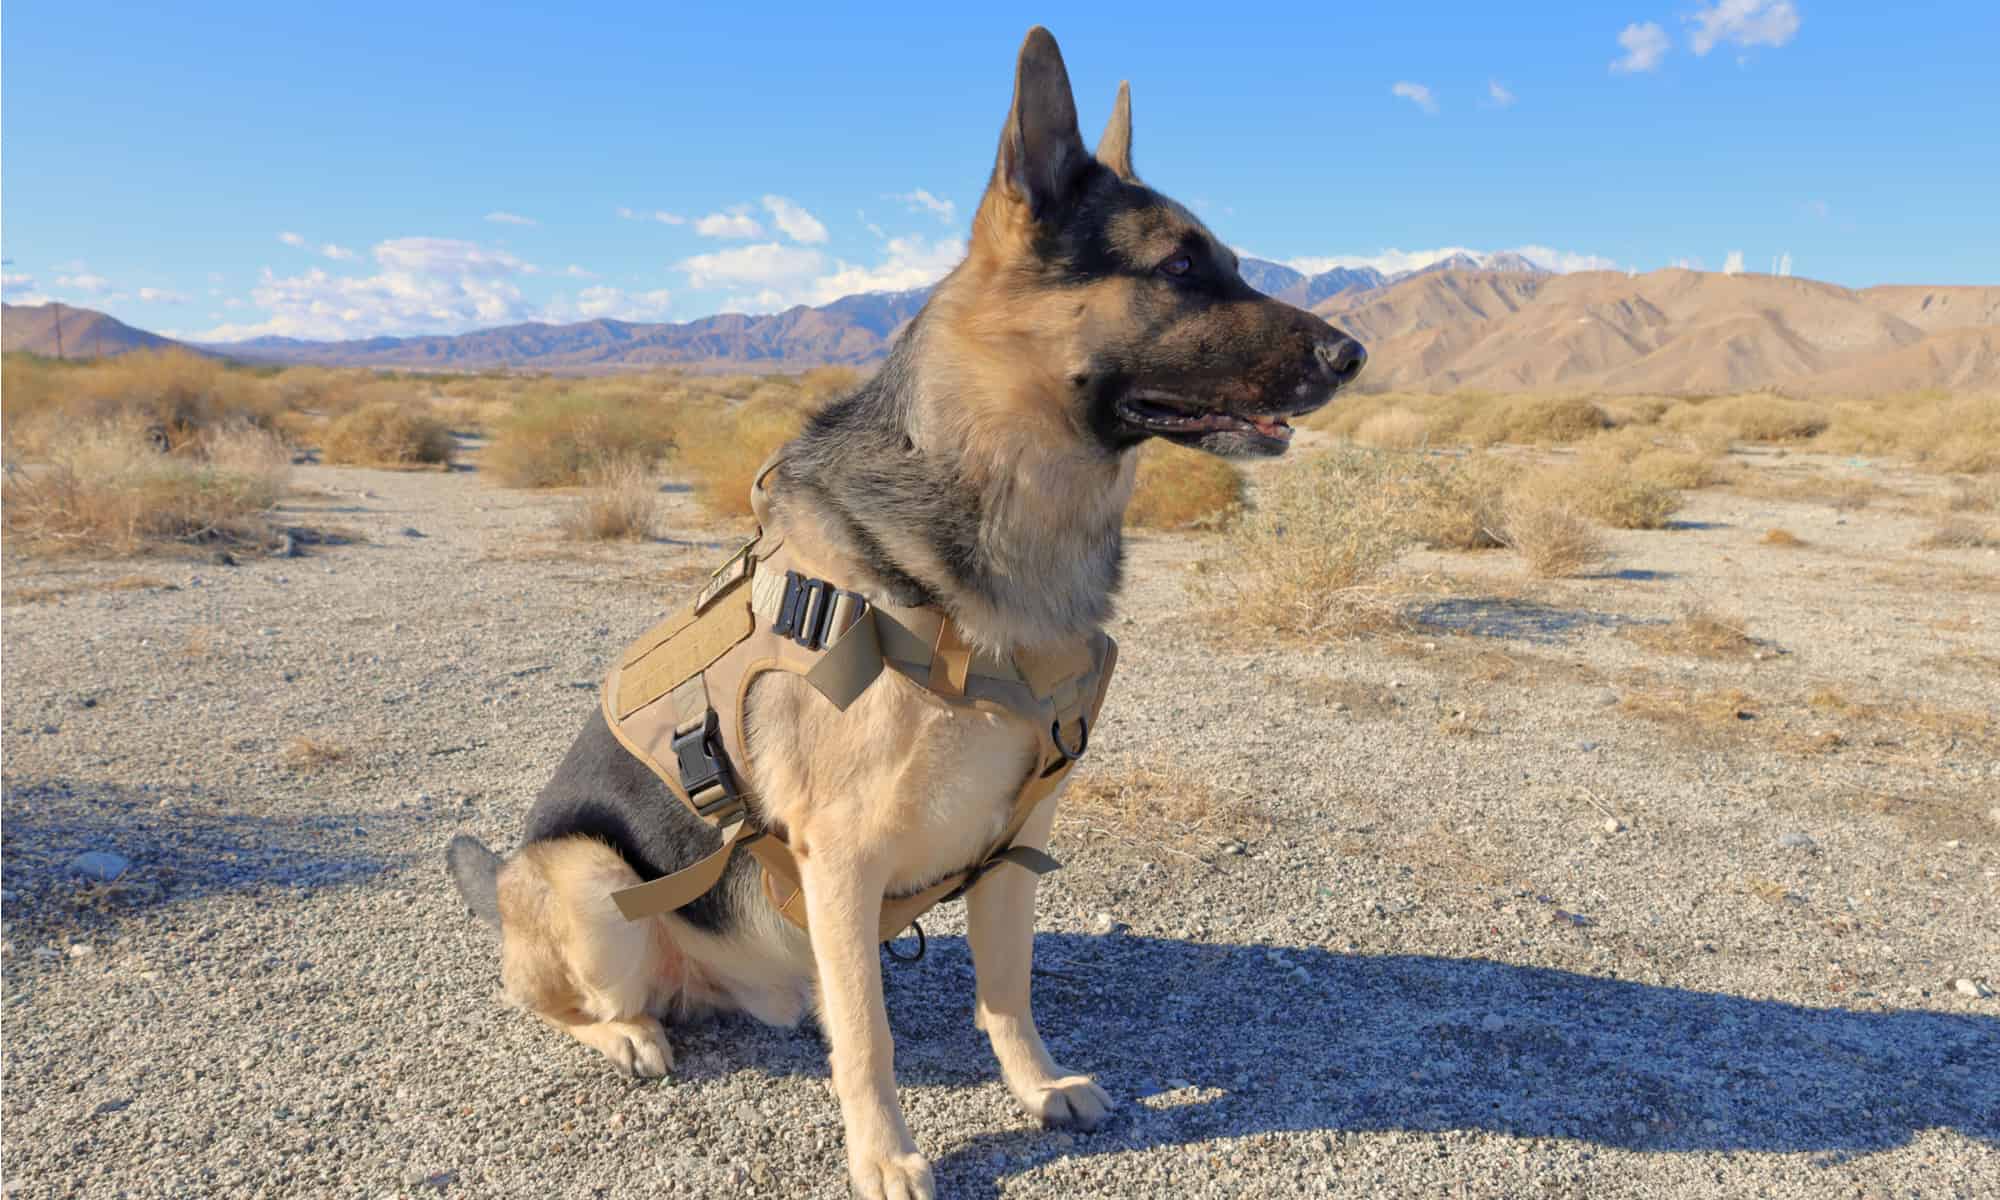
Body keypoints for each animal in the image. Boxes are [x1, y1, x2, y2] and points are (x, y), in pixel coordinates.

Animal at [448, 28, 1368, 1200]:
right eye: (1177, 266)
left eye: (1232, 262)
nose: (1354, 356)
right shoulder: (841, 859)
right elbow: (873, 1037)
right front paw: (883, 1154)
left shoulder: (1016, 847)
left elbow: (1006, 988)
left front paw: (1037, 1087)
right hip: (590, 879)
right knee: (562, 997)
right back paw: (626, 1034)